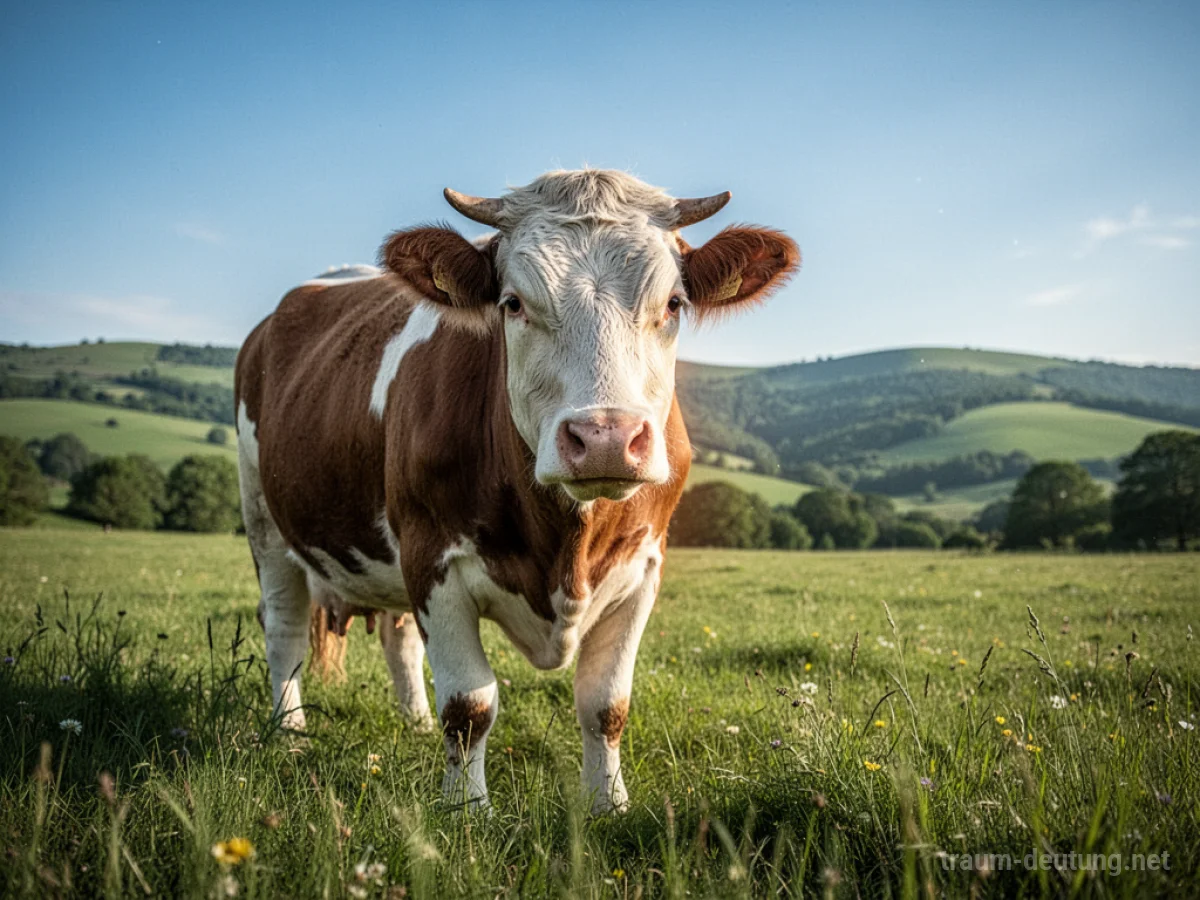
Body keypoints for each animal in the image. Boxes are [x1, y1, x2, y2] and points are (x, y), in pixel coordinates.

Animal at [234, 169, 799, 813]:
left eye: (673, 303)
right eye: (513, 303)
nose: (605, 438)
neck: (566, 548)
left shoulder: (643, 567)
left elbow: (606, 704)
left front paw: (609, 805)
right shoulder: (432, 555)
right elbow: (469, 705)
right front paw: (467, 810)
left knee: (398, 638)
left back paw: (414, 724)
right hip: (265, 520)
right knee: (283, 626)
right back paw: (290, 734)